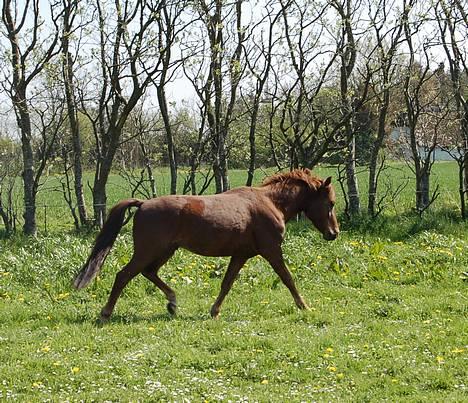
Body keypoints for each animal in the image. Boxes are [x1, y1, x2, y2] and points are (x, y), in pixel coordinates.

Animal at [75, 170, 340, 322]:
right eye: (331, 203)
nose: (334, 234)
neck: (269, 202)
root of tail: (142, 204)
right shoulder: (271, 250)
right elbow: (288, 278)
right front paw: (304, 306)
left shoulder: (241, 255)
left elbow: (227, 283)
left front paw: (214, 311)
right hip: (148, 251)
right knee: (124, 275)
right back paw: (106, 313)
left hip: (164, 251)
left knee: (149, 273)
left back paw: (172, 303)